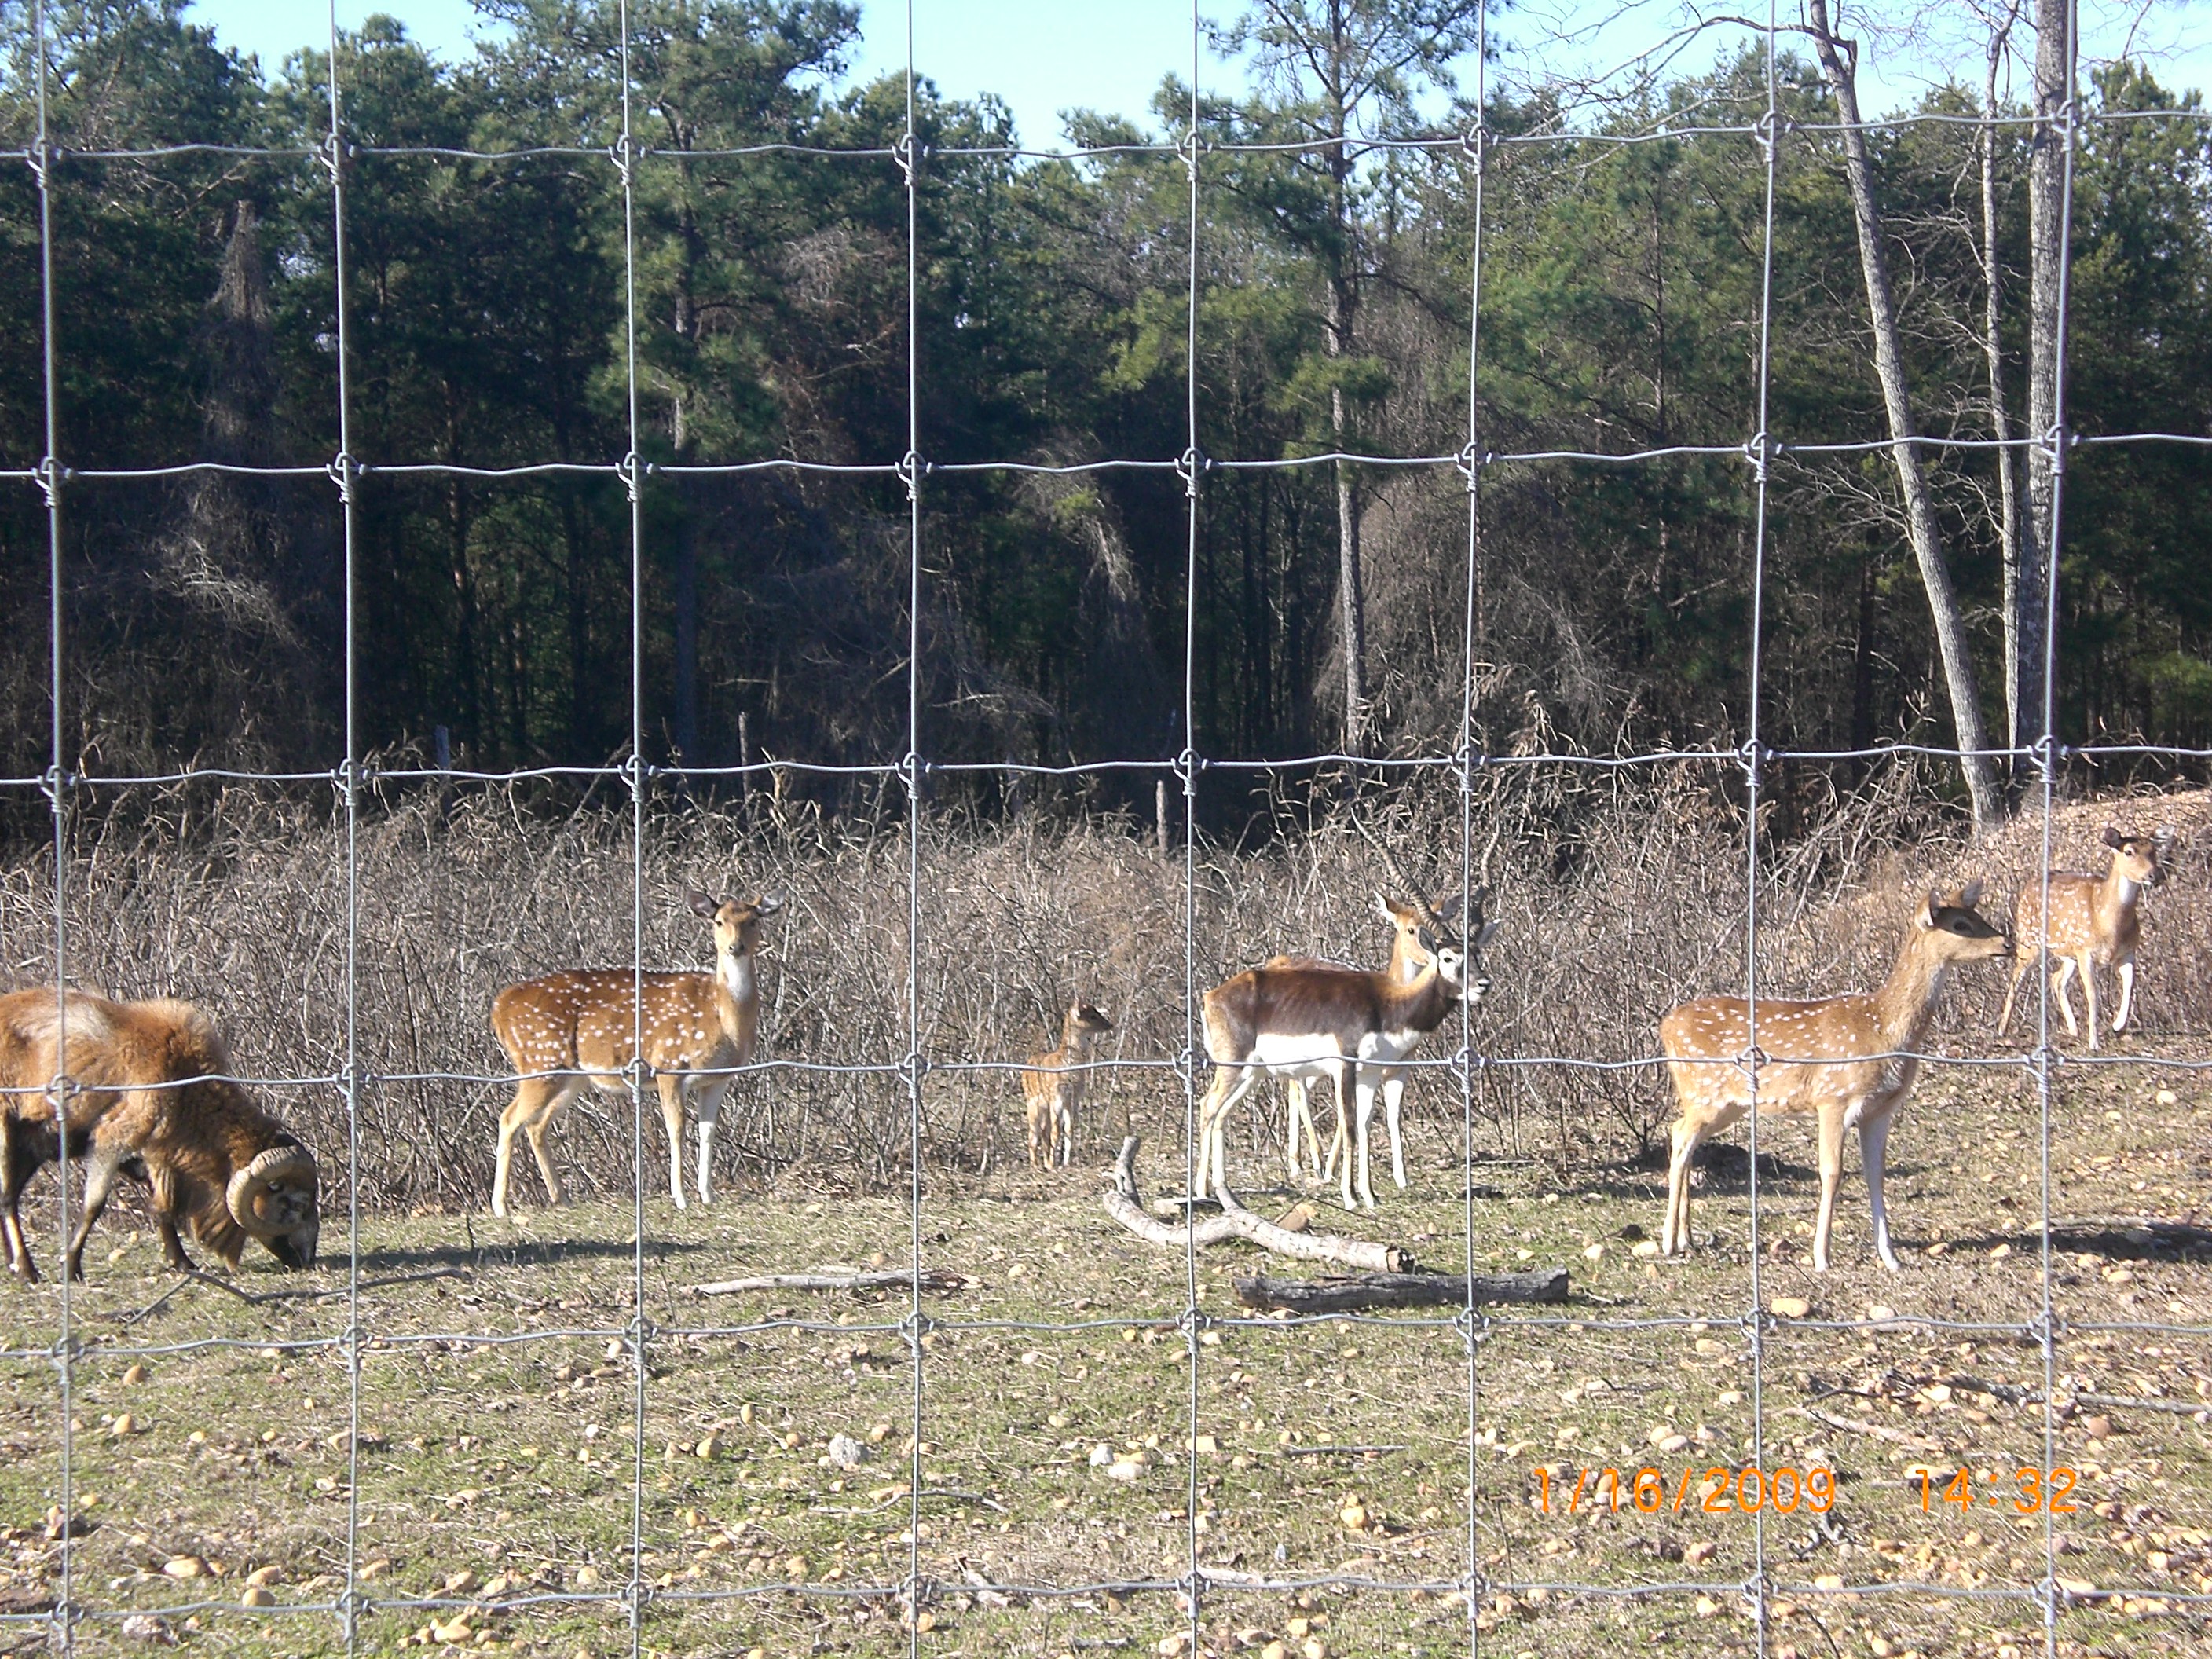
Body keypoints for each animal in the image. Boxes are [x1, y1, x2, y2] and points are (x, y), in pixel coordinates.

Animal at [489, 898, 782, 1221]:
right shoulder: (669, 1063)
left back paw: (561, 1198)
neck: (725, 1019)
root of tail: (499, 1008)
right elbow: (676, 1129)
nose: (735, 946)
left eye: (753, 920)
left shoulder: (718, 1078)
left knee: (535, 1126)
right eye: (719, 921)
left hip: (571, 1077)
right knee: (508, 1119)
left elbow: (708, 1131)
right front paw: (680, 1197)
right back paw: (500, 1206)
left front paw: (708, 1195)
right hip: (540, 1061)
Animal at [1021, 999, 1115, 1167]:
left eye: (1097, 1012)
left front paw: (1065, 1162)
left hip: (1044, 1106)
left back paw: (1044, 1162)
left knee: (1043, 1130)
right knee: (1033, 1134)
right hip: (1032, 1103)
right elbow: (1056, 1131)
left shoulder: (1074, 1099)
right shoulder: (1057, 1097)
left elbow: (1069, 1129)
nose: (1109, 1024)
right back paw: (1035, 1165)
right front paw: (1053, 1164)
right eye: (1092, 1016)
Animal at [1203, 902, 1495, 1212]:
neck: (1386, 1005)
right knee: (1207, 1105)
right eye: (1448, 957)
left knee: (1221, 1114)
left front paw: (1370, 1195)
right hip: (1233, 1067)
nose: (1483, 984)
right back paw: (1201, 1190)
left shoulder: (1370, 1073)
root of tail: (1212, 996)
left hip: (1252, 1073)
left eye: (1477, 954)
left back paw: (1225, 1192)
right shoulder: (1345, 1066)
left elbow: (1365, 1125)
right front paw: (1350, 1196)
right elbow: (1350, 1125)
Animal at [1663, 889, 2008, 1283]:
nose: (2007, 943)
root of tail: (1664, 1026)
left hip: (1723, 1103)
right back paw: (1668, 1241)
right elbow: (1832, 1172)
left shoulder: (1880, 1110)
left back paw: (1686, 1236)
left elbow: (1876, 1174)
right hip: (1705, 1092)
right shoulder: (1833, 1098)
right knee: (1681, 1137)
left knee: (1682, 1134)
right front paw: (1821, 1257)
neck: (1884, 1029)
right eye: (1961, 924)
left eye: (1977, 914)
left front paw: (1891, 1257)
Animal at [1999, 827, 2167, 1053]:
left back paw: (2073, 1029)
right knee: (2017, 977)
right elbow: (2092, 993)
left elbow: (2130, 984)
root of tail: (2027, 885)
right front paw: (2094, 1042)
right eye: (2129, 851)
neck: (2108, 923)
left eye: (2153, 850)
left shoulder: (2127, 951)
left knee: (2056, 978)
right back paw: (2002, 1029)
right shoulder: (2085, 949)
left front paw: (2117, 1024)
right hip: (2030, 938)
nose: (2155, 875)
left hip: (2067, 952)